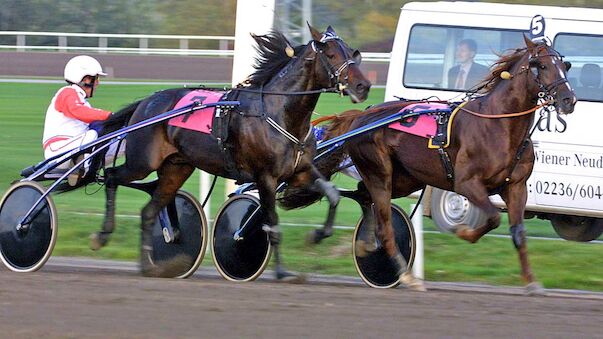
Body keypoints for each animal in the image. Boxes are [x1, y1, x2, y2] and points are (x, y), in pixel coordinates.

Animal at [93, 25, 372, 278]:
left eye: (352, 52)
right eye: (332, 55)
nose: (363, 86)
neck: (278, 112)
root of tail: (147, 101)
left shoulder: (299, 172)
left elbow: (332, 194)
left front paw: (317, 235)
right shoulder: (266, 177)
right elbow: (273, 224)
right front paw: (282, 271)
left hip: (176, 168)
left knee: (148, 211)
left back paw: (150, 265)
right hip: (142, 162)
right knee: (112, 177)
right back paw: (103, 235)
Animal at [280, 35, 580, 294]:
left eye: (564, 65)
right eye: (541, 65)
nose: (568, 100)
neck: (499, 125)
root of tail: (360, 117)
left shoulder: (516, 187)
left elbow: (518, 233)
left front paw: (531, 282)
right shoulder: (467, 183)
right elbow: (493, 218)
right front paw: (463, 231)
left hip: (404, 178)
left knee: (363, 196)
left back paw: (364, 245)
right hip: (380, 172)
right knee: (383, 223)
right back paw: (405, 274)